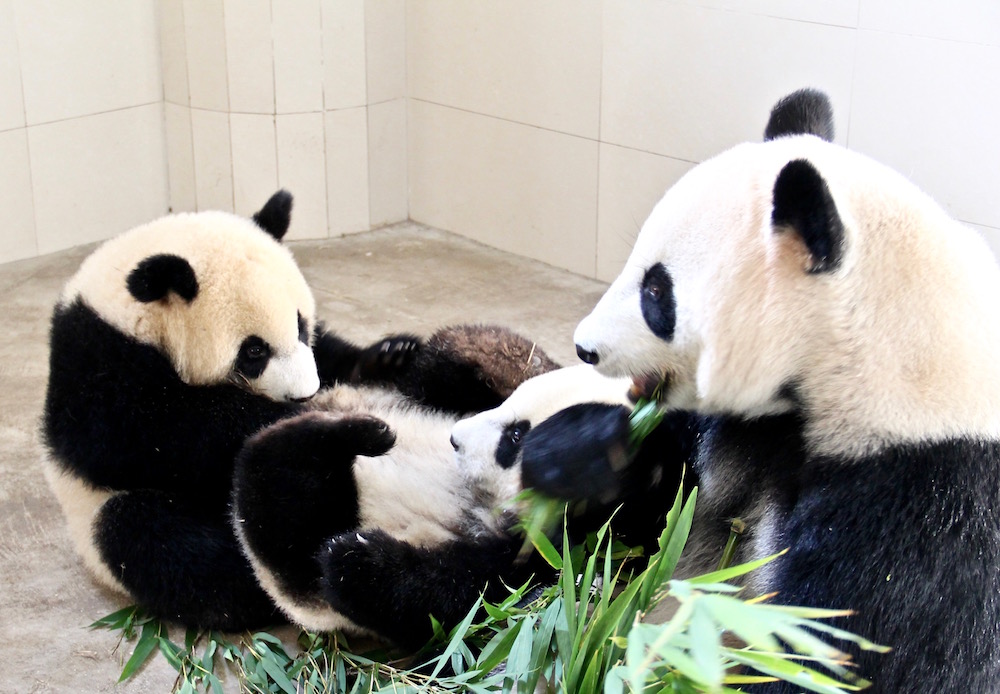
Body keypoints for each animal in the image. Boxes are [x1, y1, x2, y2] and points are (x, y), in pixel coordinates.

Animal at [41, 193, 556, 632]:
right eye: (253, 351)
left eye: (301, 323)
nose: (306, 395)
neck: (129, 318)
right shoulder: (95, 367)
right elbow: (151, 430)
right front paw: (260, 418)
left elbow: (336, 355)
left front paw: (390, 355)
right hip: (107, 519)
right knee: (165, 542)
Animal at [234, 364, 692, 652]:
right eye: (510, 407)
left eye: (513, 438)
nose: (454, 438)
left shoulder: (568, 555)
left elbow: (464, 598)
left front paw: (357, 559)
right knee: (272, 467)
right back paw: (365, 433)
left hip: (304, 542)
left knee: (284, 497)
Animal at [524, 89, 1000, 692]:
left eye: (657, 291)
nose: (585, 347)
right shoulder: (755, 431)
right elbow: (653, 519)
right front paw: (580, 452)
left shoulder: (927, 496)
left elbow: (861, 648)